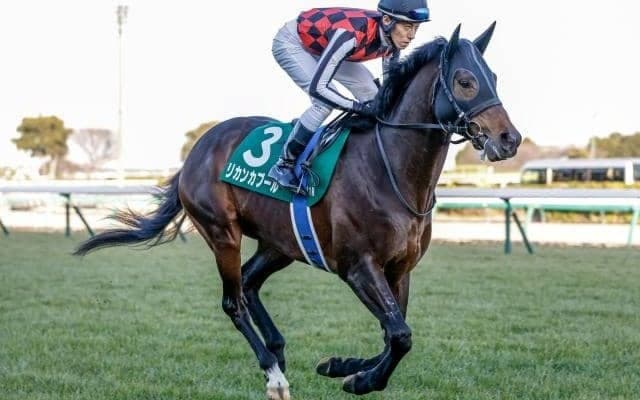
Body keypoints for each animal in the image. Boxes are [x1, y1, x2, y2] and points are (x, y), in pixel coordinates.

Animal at [74, 24, 521, 399]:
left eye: (494, 78)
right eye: (465, 81)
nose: (509, 139)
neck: (390, 169)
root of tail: (196, 151)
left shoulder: (399, 269)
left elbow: (393, 332)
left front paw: (343, 366)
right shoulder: (359, 266)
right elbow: (400, 334)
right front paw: (360, 379)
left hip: (280, 244)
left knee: (249, 284)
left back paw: (277, 350)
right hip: (222, 233)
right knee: (233, 301)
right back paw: (274, 374)